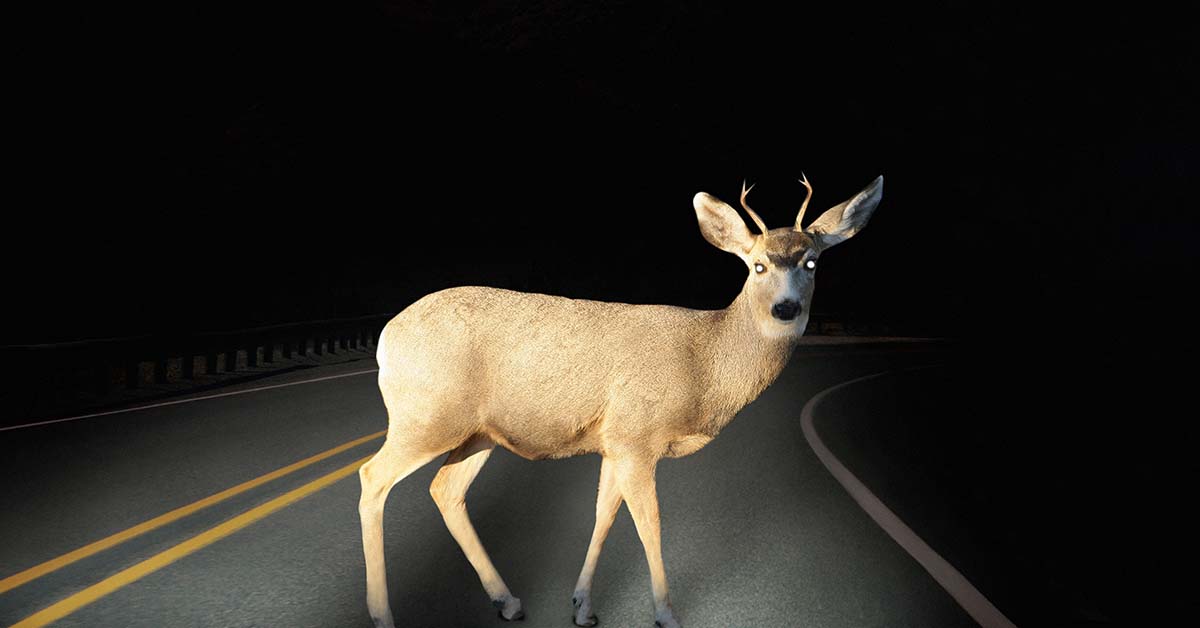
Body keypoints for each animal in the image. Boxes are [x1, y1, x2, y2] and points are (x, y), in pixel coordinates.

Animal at [358, 174, 884, 628]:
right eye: (757, 265)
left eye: (811, 262)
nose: (786, 308)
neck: (704, 362)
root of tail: (385, 339)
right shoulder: (637, 435)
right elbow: (648, 523)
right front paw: (666, 614)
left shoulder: (614, 442)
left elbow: (604, 515)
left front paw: (582, 606)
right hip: (425, 417)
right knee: (372, 477)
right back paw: (383, 615)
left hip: (479, 432)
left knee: (444, 489)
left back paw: (507, 601)